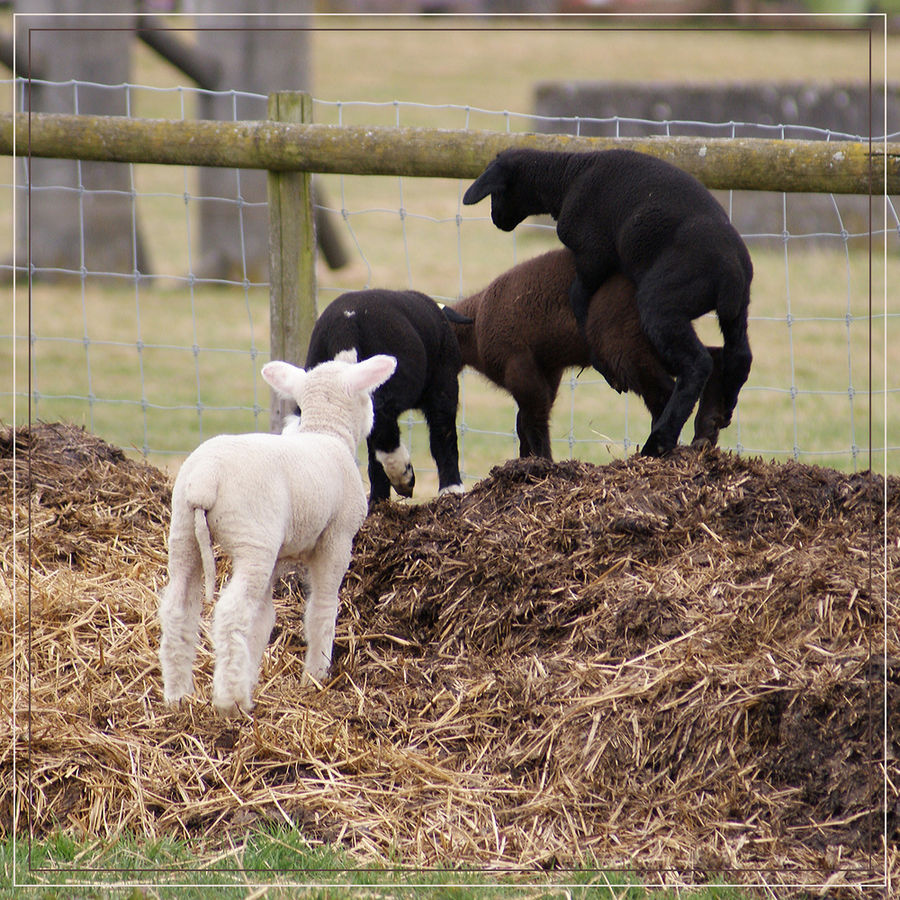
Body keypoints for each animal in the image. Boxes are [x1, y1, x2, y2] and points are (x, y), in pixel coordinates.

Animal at [156, 352, 396, 716]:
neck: (326, 431)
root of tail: (206, 477)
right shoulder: (337, 539)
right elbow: (323, 607)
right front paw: (316, 676)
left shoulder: (277, 555)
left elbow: (263, 619)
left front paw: (253, 675)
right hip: (254, 541)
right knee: (231, 613)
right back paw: (230, 700)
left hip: (184, 531)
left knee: (178, 608)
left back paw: (178, 695)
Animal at [304, 286, 468, 502]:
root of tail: (344, 324)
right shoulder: (443, 384)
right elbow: (443, 436)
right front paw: (452, 489)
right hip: (388, 383)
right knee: (385, 428)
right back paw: (403, 477)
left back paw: (377, 498)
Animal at [464, 149, 752, 458]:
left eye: (497, 192)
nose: (496, 219)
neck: (566, 176)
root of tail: (731, 273)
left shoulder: (592, 255)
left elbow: (578, 298)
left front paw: (601, 363)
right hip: (735, 311)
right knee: (739, 355)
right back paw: (719, 414)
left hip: (661, 303)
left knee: (696, 364)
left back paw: (659, 441)